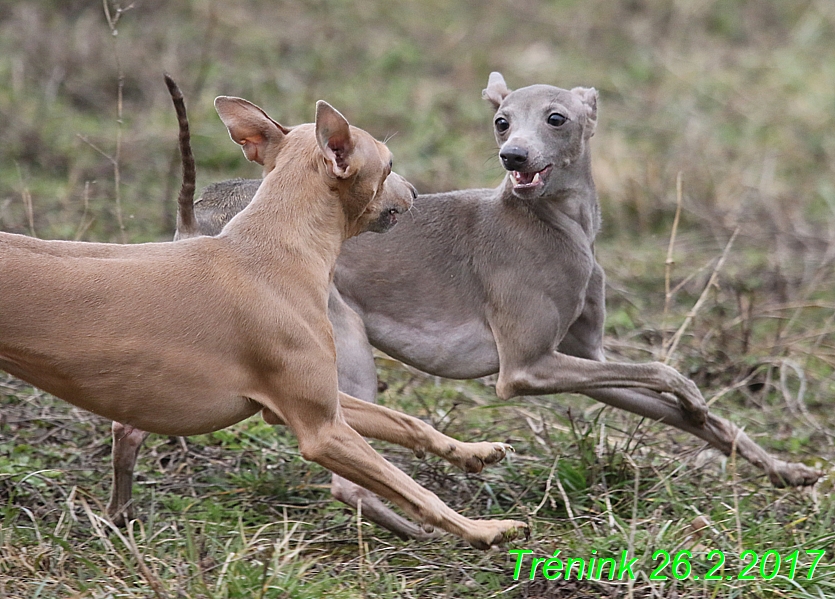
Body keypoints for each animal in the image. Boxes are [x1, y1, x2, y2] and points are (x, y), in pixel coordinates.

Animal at [1, 94, 528, 548]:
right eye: (391, 164)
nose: (416, 192)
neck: (275, 252)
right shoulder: (321, 431)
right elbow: (416, 491)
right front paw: (484, 530)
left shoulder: (313, 405)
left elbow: (409, 422)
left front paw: (473, 451)